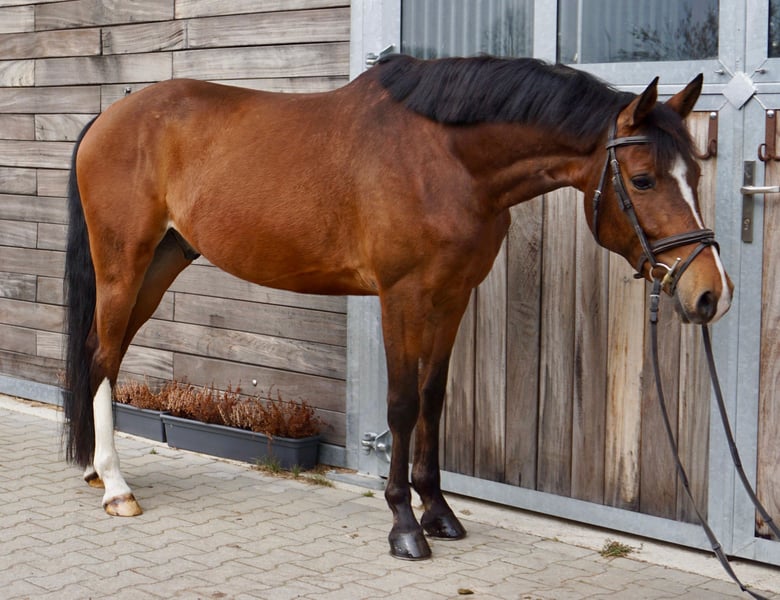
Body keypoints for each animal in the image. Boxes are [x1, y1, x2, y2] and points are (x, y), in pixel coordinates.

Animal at [63, 54, 733, 560]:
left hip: (162, 262)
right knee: (104, 356)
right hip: (124, 264)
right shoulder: (402, 296)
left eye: (696, 175)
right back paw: (116, 486)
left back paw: (96, 469)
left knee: (103, 353)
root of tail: (108, 117)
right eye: (643, 179)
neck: (444, 159)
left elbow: (434, 398)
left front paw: (438, 511)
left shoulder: (453, 295)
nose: (709, 292)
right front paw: (405, 526)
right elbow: (404, 405)